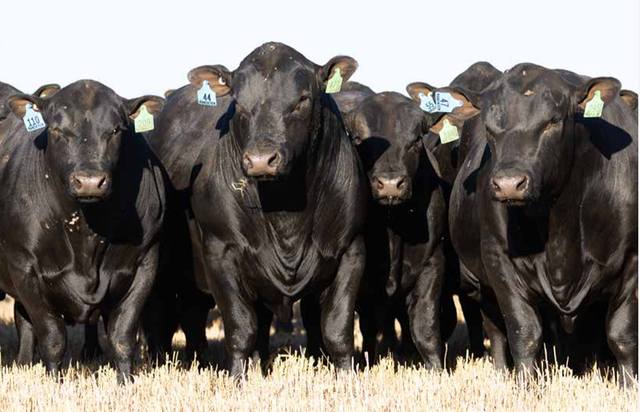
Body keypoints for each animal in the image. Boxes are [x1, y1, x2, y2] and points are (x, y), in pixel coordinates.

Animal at [0, 80, 165, 383]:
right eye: (56, 129)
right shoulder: (24, 268)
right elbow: (52, 337)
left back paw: (24, 363)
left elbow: (122, 336)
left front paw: (126, 382)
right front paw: (54, 382)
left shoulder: (146, 263)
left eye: (116, 130)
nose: (90, 181)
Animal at [148, 42, 367, 377]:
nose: (262, 160)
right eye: (237, 102)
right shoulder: (220, 252)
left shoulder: (351, 250)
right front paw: (237, 379)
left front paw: (346, 376)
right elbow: (240, 327)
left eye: (302, 99)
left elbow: (337, 328)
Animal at [437, 63, 637, 383]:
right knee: (495, 330)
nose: (509, 183)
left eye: (552, 121)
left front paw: (629, 386)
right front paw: (524, 385)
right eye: (490, 128)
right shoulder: (499, 263)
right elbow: (524, 333)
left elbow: (622, 336)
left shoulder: (630, 263)